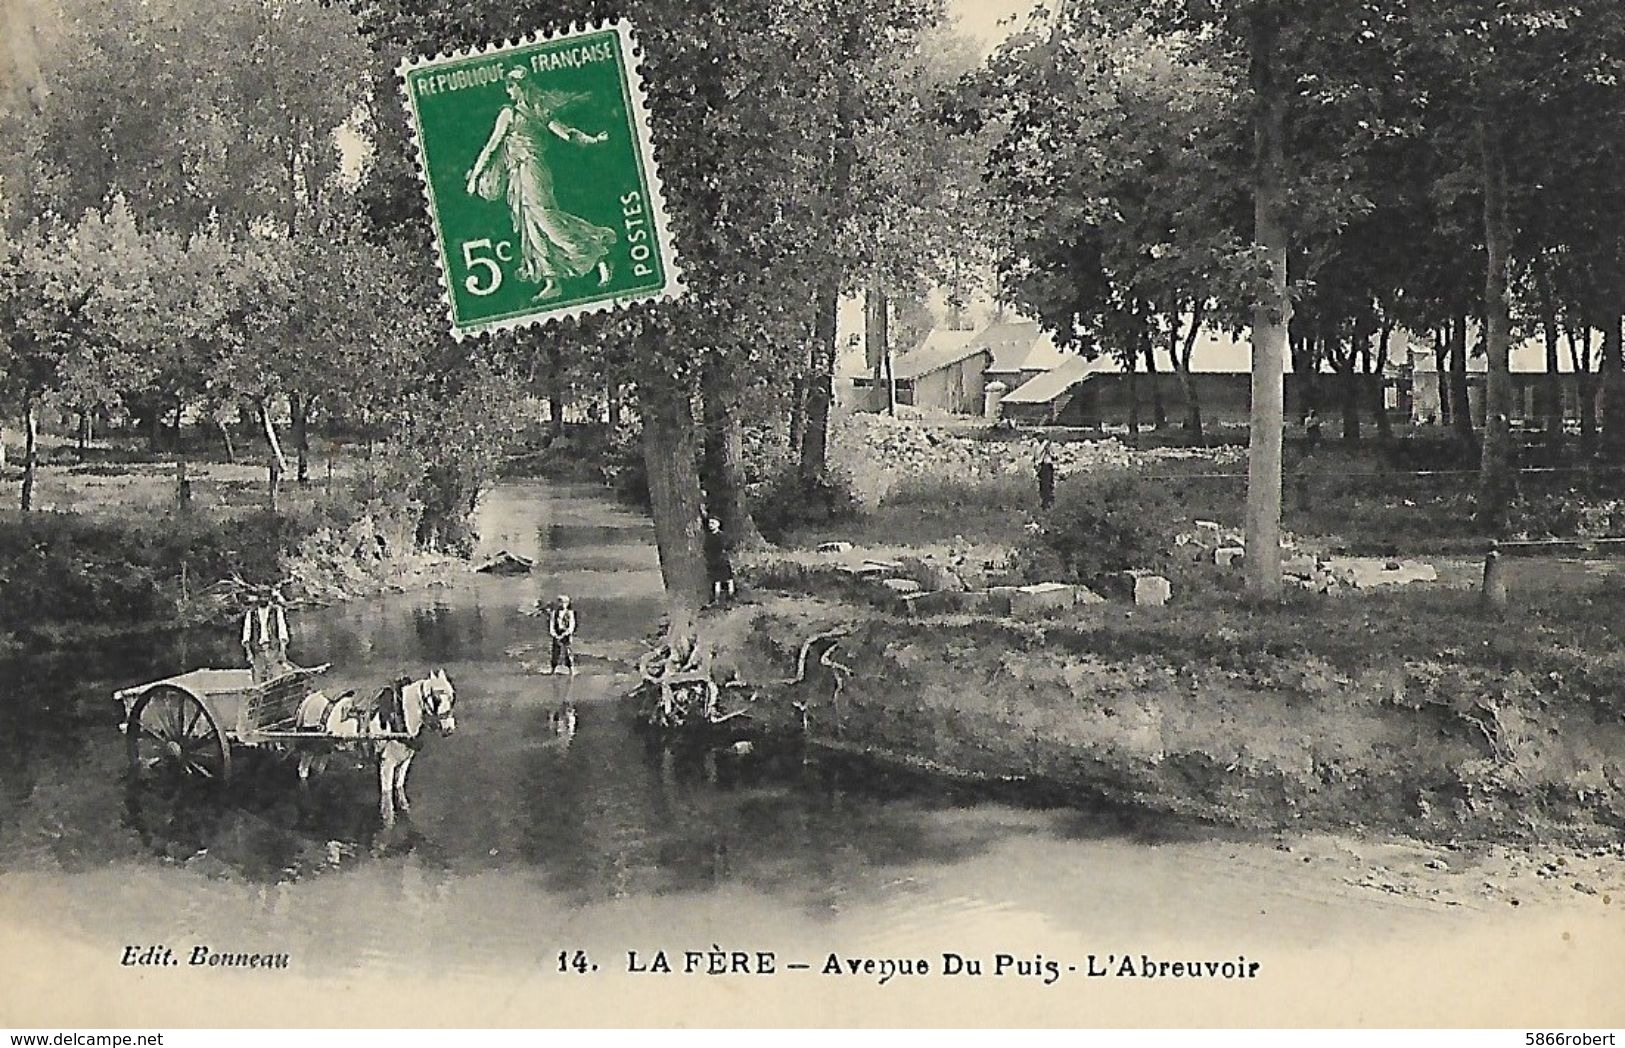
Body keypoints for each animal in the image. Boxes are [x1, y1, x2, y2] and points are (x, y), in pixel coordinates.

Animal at [292, 669, 455, 825]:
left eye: (452, 697)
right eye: (436, 698)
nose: (449, 729)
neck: (399, 718)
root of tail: (310, 698)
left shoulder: (405, 763)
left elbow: (399, 787)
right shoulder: (387, 764)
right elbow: (387, 795)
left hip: (324, 749)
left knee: (318, 769)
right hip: (309, 749)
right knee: (303, 771)